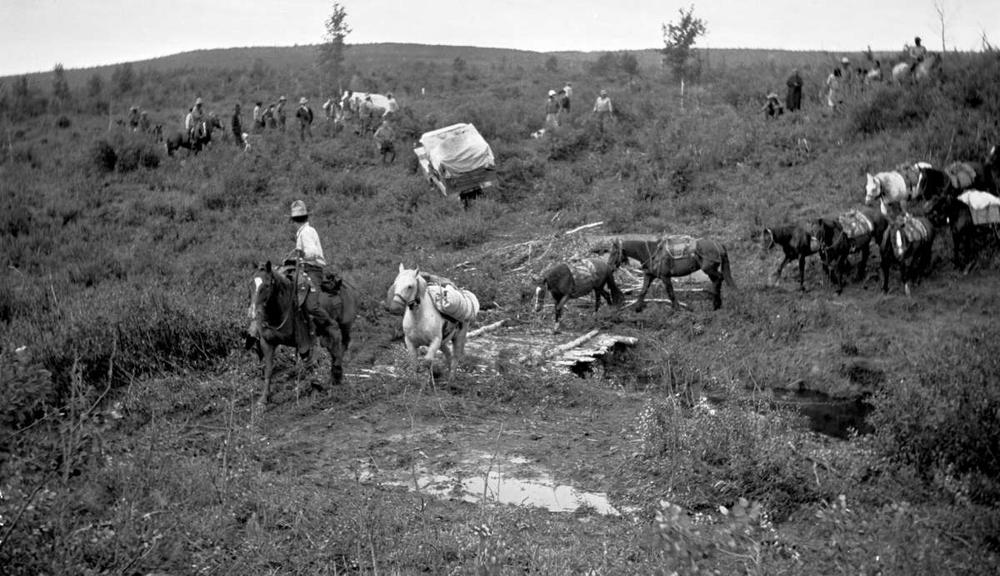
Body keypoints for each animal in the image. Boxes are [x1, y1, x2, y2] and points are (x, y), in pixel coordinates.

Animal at [248, 261, 357, 405]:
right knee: (333, 347)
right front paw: (264, 399)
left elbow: (310, 364)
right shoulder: (267, 342)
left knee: (342, 345)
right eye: (251, 284)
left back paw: (337, 374)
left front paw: (315, 391)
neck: (280, 311)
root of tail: (347, 286)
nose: (254, 313)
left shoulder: (304, 342)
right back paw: (334, 377)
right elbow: (269, 370)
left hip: (345, 326)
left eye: (266, 285)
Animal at [607, 236, 736, 311]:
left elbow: (670, 293)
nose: (609, 266)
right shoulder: (649, 275)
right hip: (710, 270)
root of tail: (718, 244)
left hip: (708, 269)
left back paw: (716, 304)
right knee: (716, 281)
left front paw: (677, 308)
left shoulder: (665, 277)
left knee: (719, 279)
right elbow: (643, 291)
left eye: (614, 252)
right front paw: (638, 308)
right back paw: (716, 304)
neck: (652, 252)